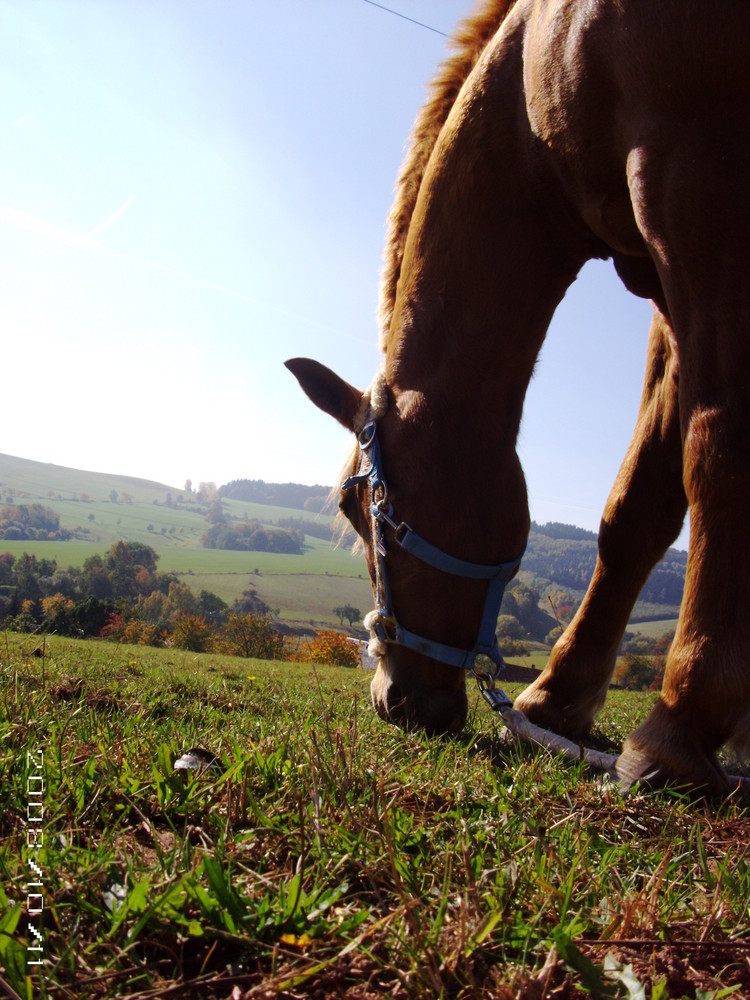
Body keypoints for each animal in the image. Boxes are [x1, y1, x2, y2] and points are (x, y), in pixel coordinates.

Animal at [286, 1, 750, 796]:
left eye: (353, 507)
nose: (392, 700)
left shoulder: (701, 194)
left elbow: (716, 451)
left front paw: (680, 725)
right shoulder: (662, 287)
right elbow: (637, 507)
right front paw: (557, 700)